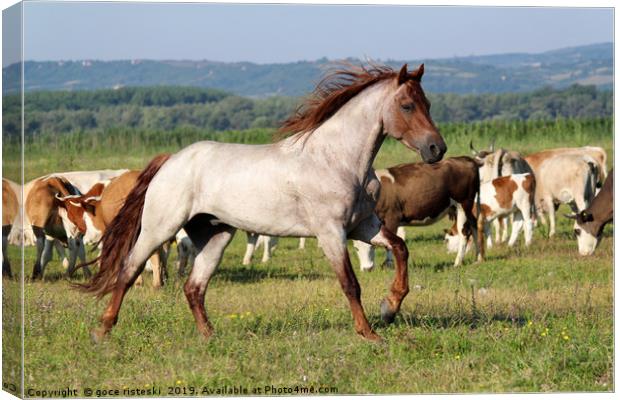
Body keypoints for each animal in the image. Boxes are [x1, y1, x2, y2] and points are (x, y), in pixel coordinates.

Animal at [81, 64, 446, 342]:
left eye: (428, 103)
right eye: (407, 105)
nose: (436, 149)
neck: (336, 159)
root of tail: (171, 160)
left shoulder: (363, 226)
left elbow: (400, 248)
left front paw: (390, 307)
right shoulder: (331, 232)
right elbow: (350, 283)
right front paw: (370, 333)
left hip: (215, 236)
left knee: (194, 286)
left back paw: (209, 336)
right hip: (160, 228)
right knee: (129, 270)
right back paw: (102, 331)